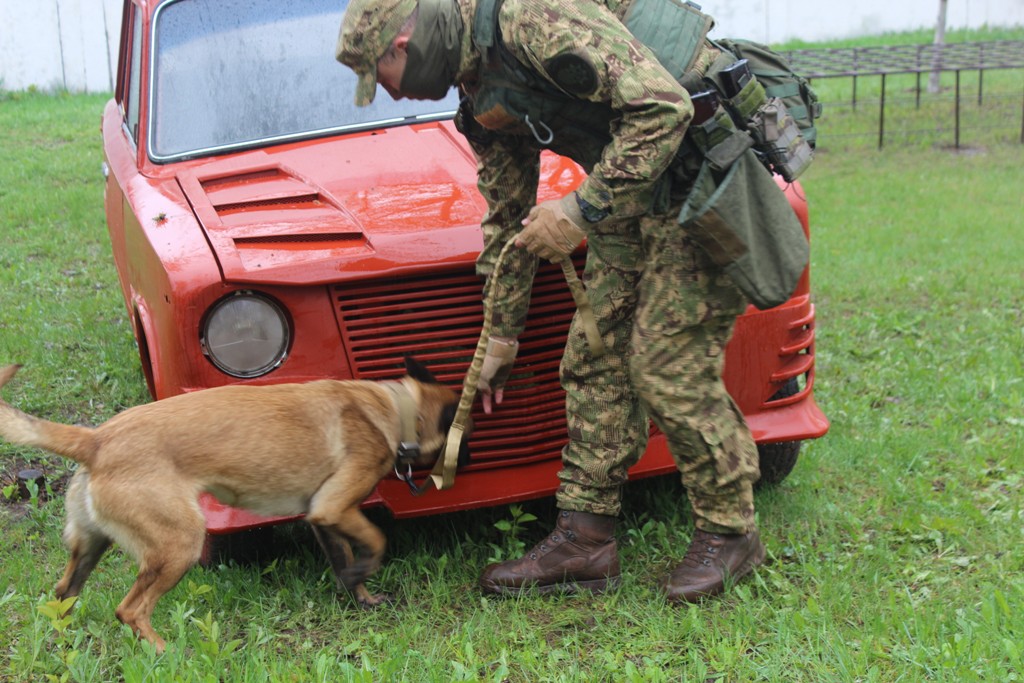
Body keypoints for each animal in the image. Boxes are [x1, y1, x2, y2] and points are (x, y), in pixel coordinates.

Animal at [0, 357, 470, 651]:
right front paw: (363, 577)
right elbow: (374, 541)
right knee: (129, 609)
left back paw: (67, 642)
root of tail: (95, 440)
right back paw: (165, 651)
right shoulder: (335, 507)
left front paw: (362, 598)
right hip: (179, 545)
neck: (395, 407)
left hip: (91, 546)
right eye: (463, 437)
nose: (467, 459)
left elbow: (344, 559)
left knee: (63, 594)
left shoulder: (321, 515)